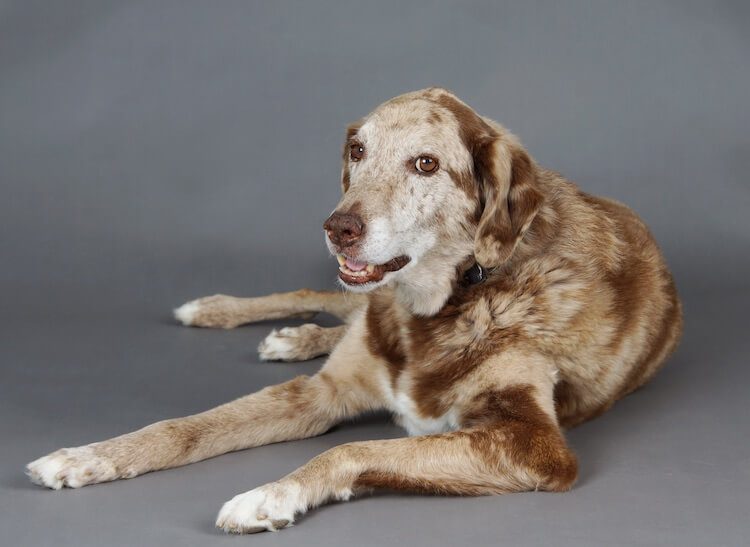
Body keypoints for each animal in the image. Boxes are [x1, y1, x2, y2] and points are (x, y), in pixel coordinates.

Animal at [25, 89, 680, 536]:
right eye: (358, 150)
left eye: (425, 164)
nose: (338, 228)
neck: (440, 305)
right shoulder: (321, 392)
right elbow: (183, 428)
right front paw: (90, 457)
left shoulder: (532, 444)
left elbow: (352, 449)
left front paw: (270, 495)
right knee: (324, 300)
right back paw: (230, 314)